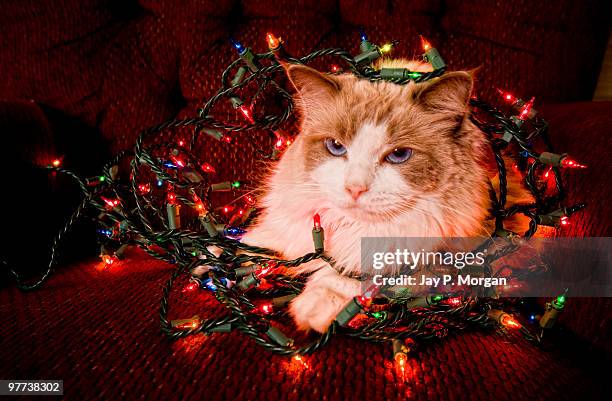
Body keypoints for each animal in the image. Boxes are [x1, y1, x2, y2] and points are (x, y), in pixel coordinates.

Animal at [239, 57, 532, 332]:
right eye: (336, 146)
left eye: (399, 155)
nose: (355, 188)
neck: (352, 227)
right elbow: (259, 241)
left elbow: (353, 273)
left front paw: (315, 304)